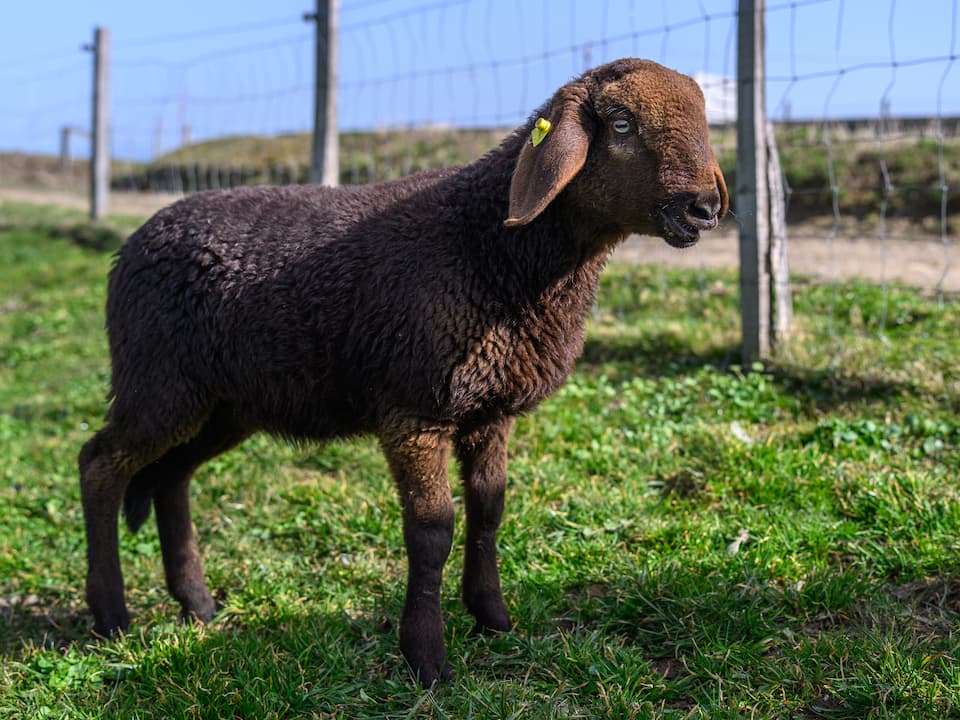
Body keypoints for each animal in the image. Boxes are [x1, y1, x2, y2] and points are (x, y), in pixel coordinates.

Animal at [79, 58, 728, 685]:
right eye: (620, 124)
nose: (705, 207)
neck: (492, 249)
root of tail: (132, 244)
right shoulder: (414, 409)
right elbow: (432, 530)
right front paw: (427, 659)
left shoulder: (491, 411)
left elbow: (489, 510)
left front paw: (493, 619)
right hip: (158, 381)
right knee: (100, 464)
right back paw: (111, 617)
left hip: (222, 403)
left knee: (171, 475)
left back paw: (197, 604)